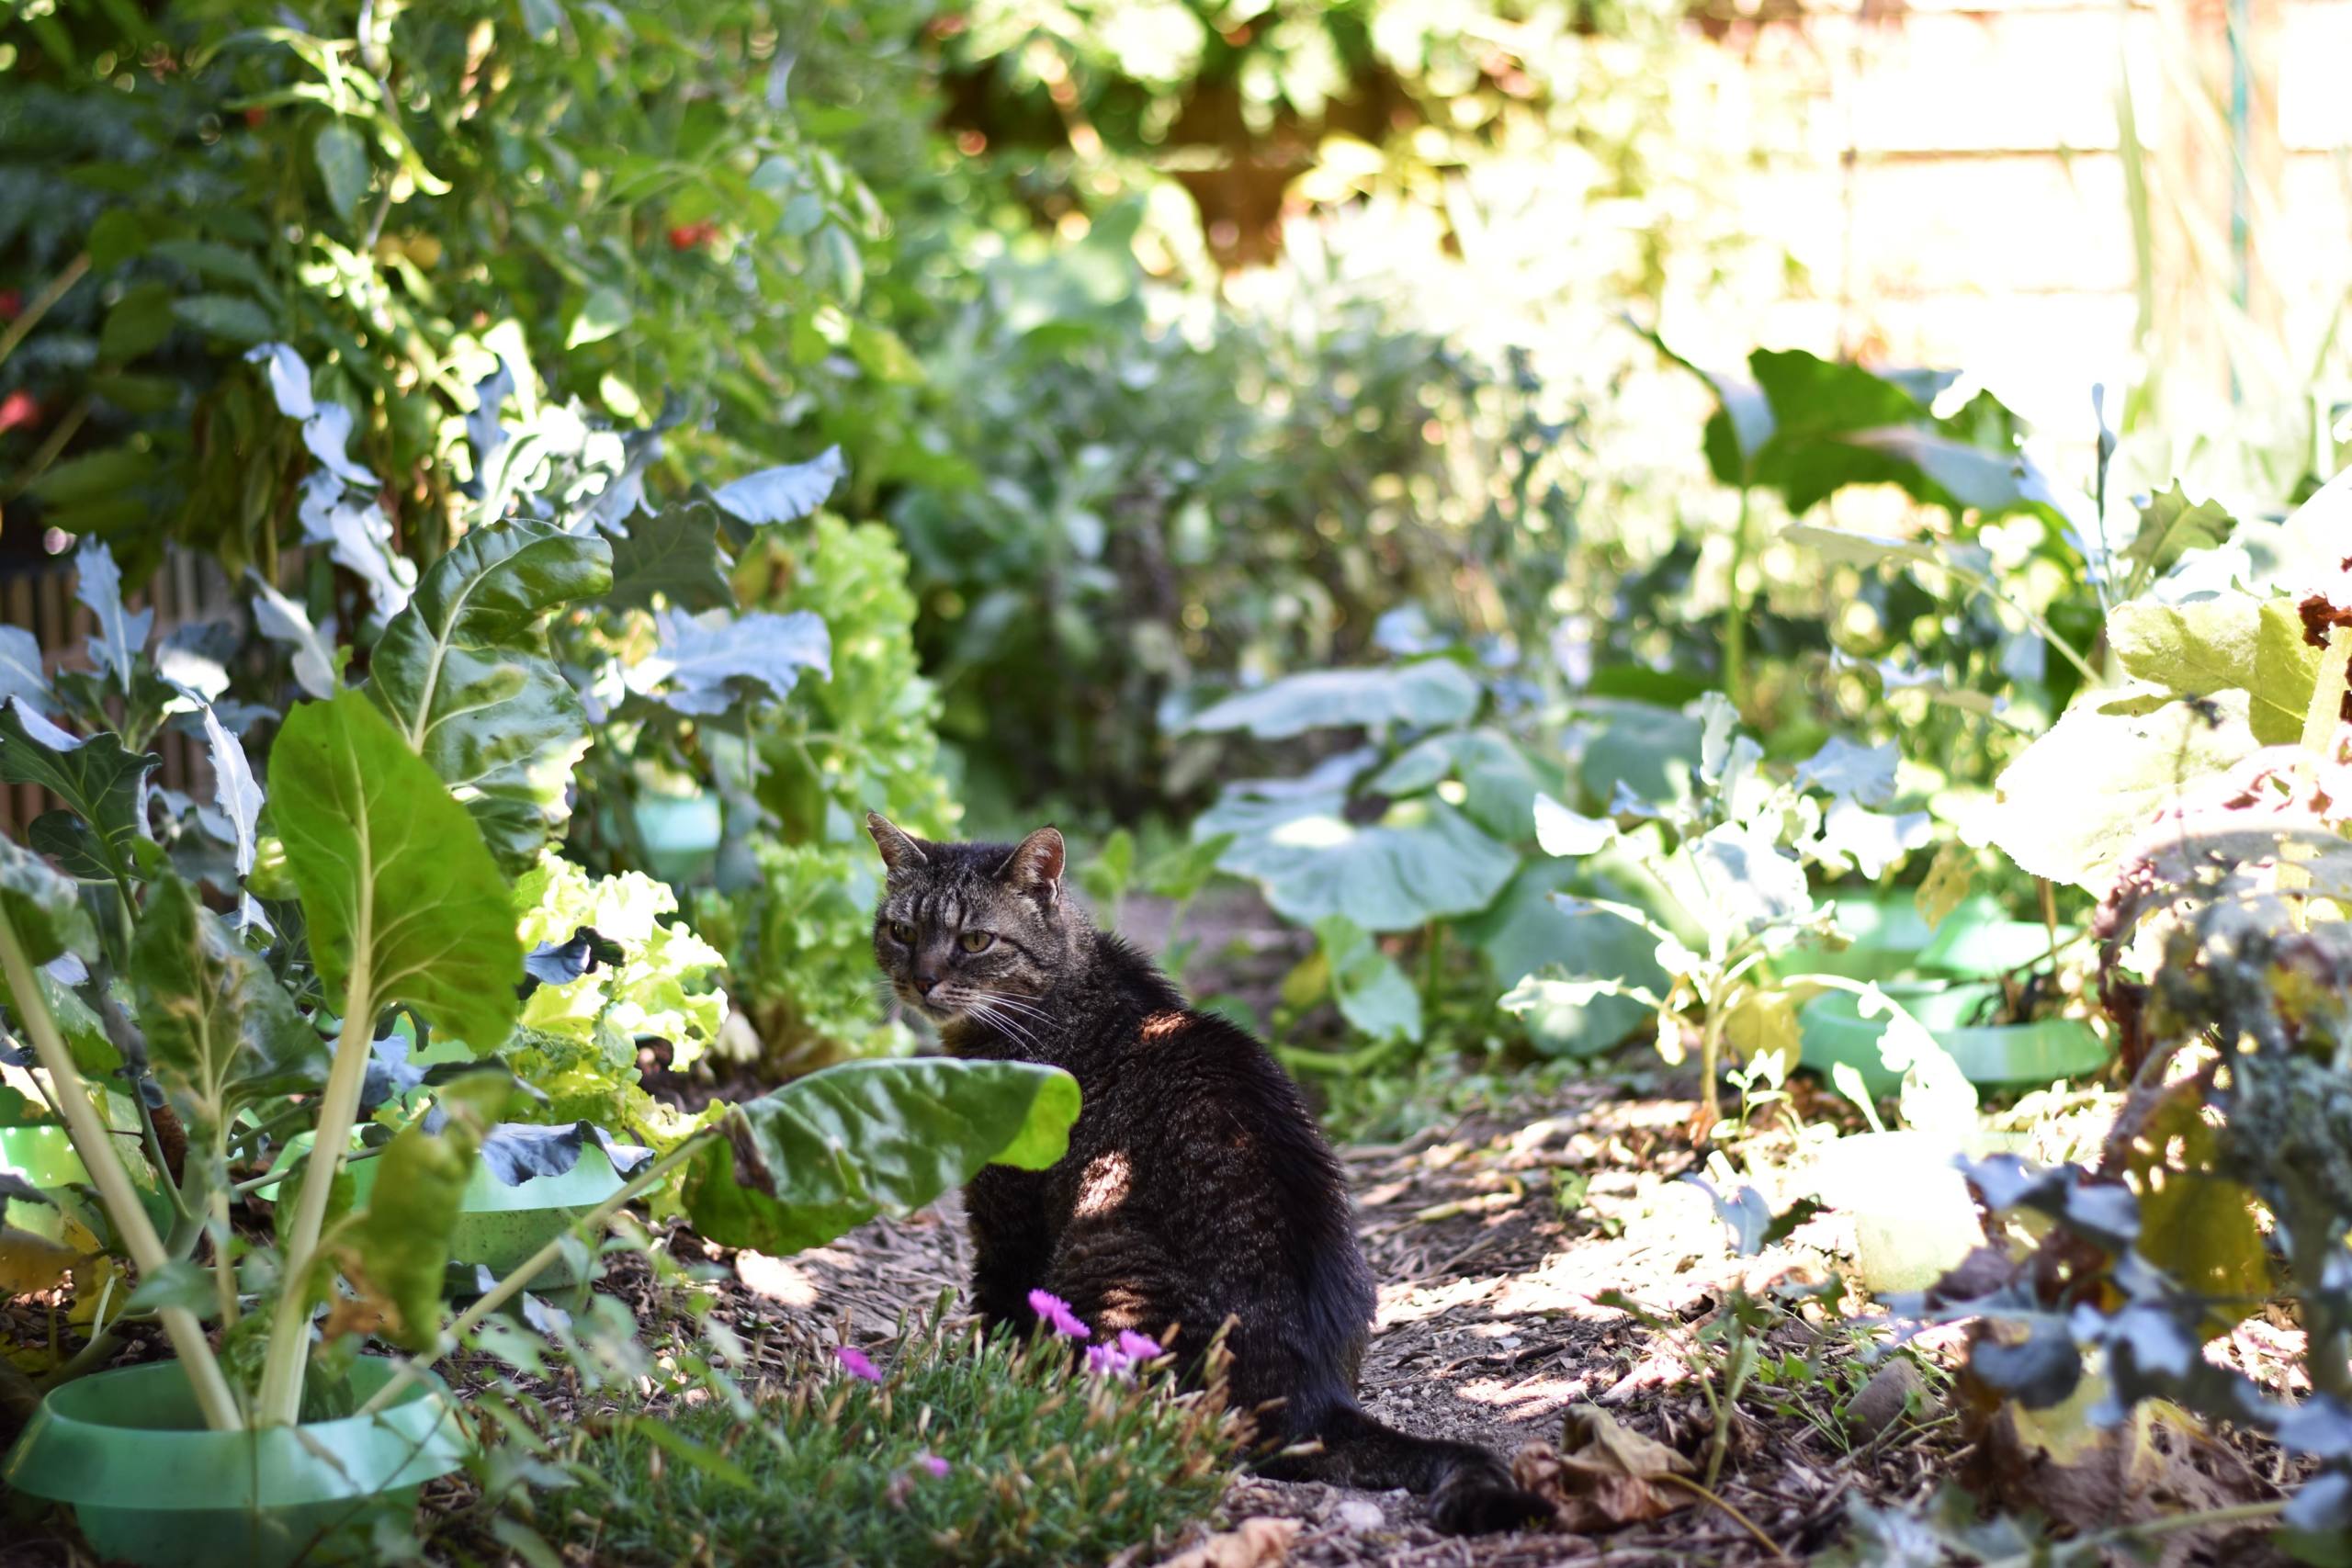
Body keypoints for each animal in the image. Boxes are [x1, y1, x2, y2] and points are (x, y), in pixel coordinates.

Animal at [875, 818, 1552, 1523]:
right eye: (902, 931)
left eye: (975, 940)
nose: (922, 979)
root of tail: (1318, 1399)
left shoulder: (1006, 1218)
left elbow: (997, 1315)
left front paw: (977, 1387)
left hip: (1105, 1258)